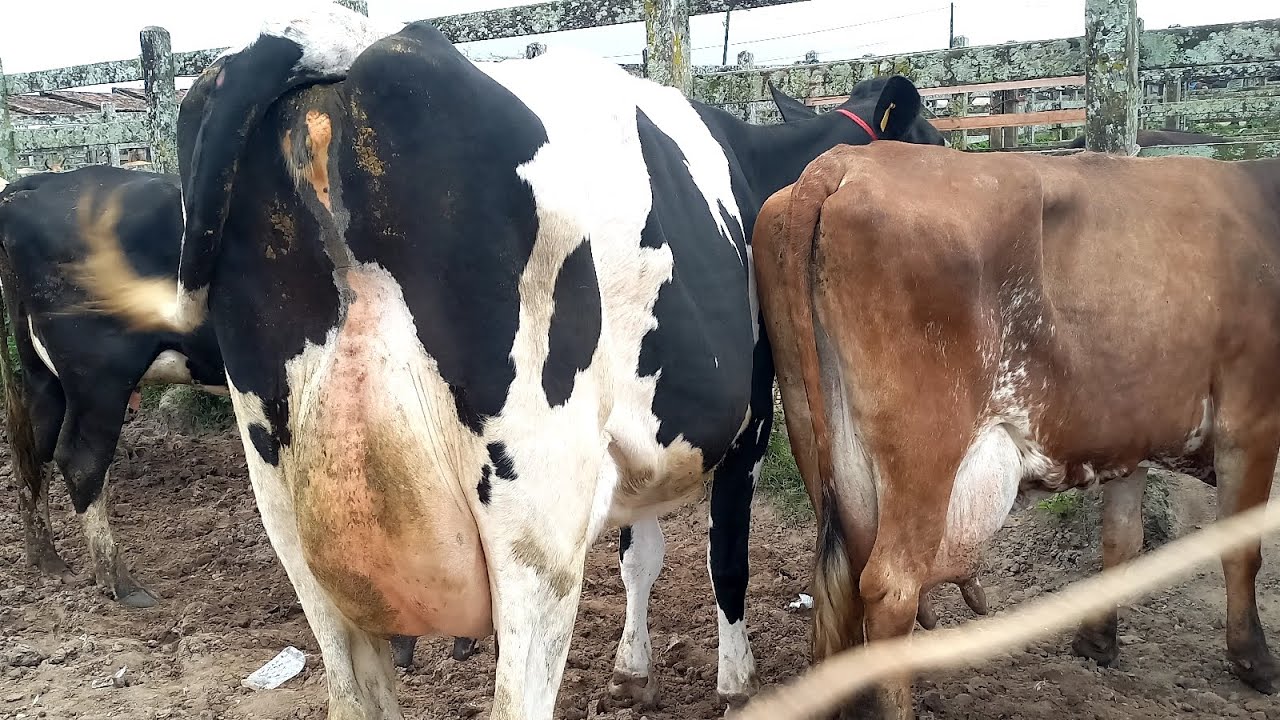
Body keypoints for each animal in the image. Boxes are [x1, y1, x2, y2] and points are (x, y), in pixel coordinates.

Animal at [0, 165, 227, 607]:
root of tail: (32, 184)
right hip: (100, 375)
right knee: (81, 461)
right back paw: (121, 583)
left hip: (42, 374)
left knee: (35, 451)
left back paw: (48, 561)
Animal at [67, 5, 940, 718]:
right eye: (931, 140)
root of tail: (346, 45)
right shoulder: (747, 427)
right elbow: (727, 561)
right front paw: (735, 682)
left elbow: (642, 555)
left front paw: (632, 671)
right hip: (536, 525)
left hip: (285, 501)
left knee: (351, 688)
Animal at [752, 141, 1280, 718]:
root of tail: (847, 160)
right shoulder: (1252, 420)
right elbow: (1241, 547)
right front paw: (1255, 659)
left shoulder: (1131, 435)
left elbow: (1122, 538)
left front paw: (1097, 640)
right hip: (924, 459)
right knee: (891, 587)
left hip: (816, 439)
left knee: (840, 582)